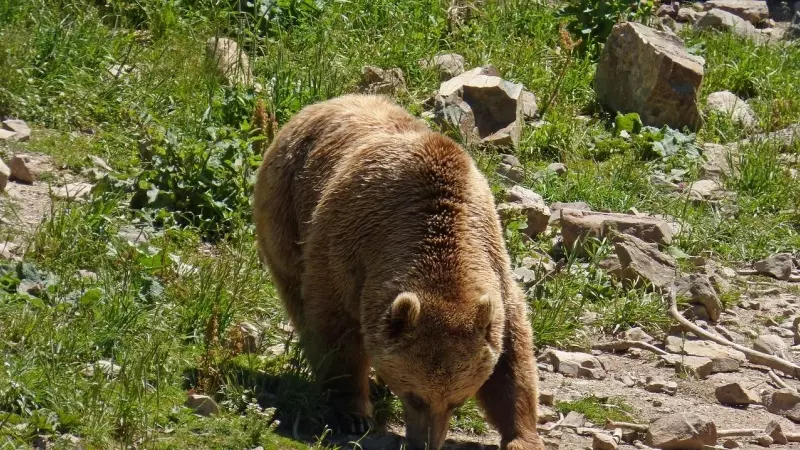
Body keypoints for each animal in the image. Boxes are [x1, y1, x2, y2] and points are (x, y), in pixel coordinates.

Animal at [255, 93, 544, 448]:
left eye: (457, 401)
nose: (426, 443)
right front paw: (351, 413)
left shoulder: (495, 269)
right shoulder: (346, 252)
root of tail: (326, 103)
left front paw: (522, 435)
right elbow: (335, 328)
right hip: (286, 206)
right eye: (415, 396)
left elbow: (512, 354)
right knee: (295, 293)